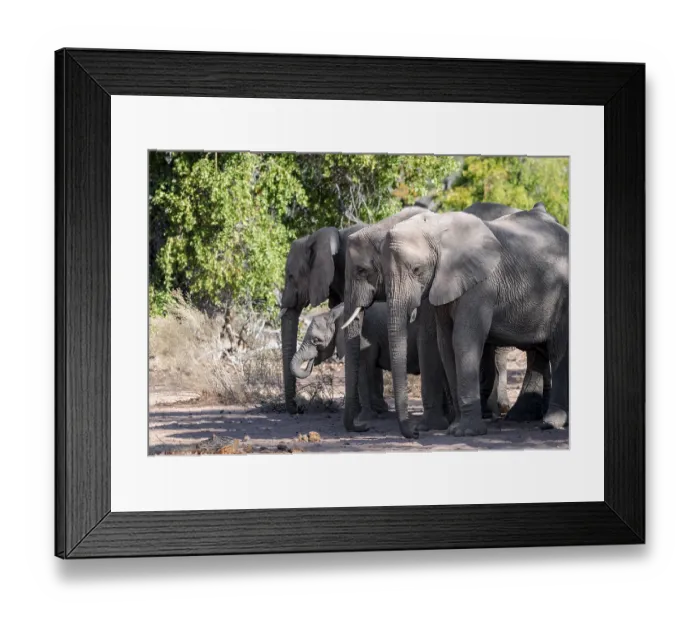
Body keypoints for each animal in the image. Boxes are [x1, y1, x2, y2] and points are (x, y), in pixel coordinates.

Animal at [291, 302, 420, 420]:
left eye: (316, 340)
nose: (312, 360)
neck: (333, 313)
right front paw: (377, 410)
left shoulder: (363, 335)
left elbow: (364, 368)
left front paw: (364, 417)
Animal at [383, 205, 569, 439]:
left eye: (417, 270)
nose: (414, 434)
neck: (438, 228)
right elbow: (446, 344)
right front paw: (455, 427)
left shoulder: (480, 285)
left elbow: (463, 340)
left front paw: (466, 432)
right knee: (540, 352)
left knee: (558, 349)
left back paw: (551, 422)